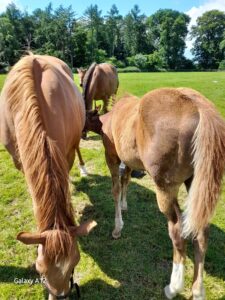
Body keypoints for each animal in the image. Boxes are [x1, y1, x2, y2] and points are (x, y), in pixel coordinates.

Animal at [85, 88, 225, 300]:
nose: (82, 134)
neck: (109, 118)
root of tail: (199, 107)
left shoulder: (112, 157)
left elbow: (116, 189)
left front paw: (118, 227)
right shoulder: (129, 162)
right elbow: (126, 180)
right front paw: (125, 206)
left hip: (165, 188)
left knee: (177, 230)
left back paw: (173, 287)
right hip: (196, 185)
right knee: (201, 233)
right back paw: (197, 290)